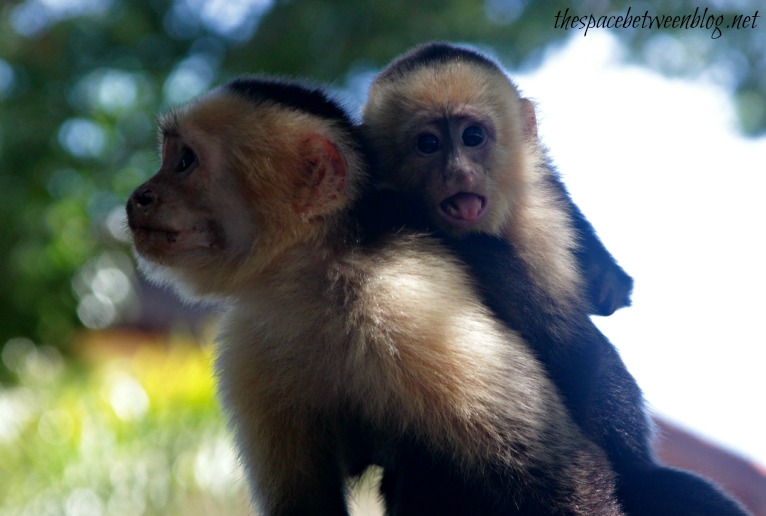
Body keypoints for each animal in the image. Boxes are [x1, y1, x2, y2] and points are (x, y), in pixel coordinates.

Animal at [123, 76, 624, 516]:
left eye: (185, 162)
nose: (139, 196)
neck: (315, 283)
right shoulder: (252, 341)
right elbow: (304, 505)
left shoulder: (409, 297)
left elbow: (564, 480)